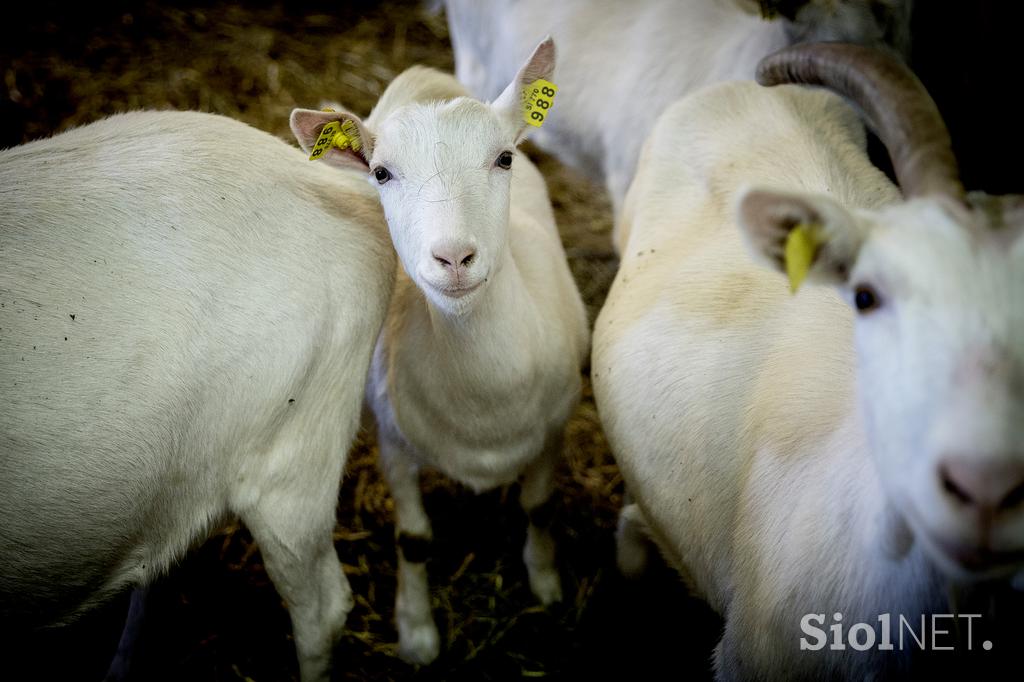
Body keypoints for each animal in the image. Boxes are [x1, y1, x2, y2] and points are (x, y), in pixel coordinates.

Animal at [292, 38, 589, 663]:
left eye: (503, 159)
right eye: (381, 173)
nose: (454, 257)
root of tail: (427, 76)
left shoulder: (555, 429)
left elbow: (539, 507)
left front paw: (547, 584)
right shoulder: (394, 443)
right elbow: (413, 539)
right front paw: (417, 631)